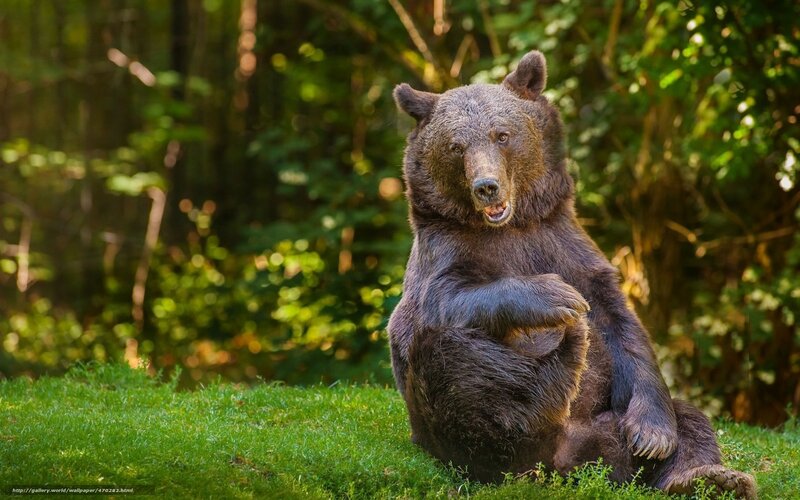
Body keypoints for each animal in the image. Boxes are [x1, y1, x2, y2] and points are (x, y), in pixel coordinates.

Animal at [387, 50, 757, 498]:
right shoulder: (445, 252)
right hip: (444, 422)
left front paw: (653, 435)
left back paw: (710, 477)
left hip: (606, 433)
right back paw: (561, 360)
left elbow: (620, 325)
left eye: (502, 135)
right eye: (456, 146)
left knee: (691, 421)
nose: (486, 186)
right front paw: (558, 298)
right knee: (456, 364)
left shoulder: (562, 242)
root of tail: (564, 463)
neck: (510, 225)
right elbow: (446, 298)